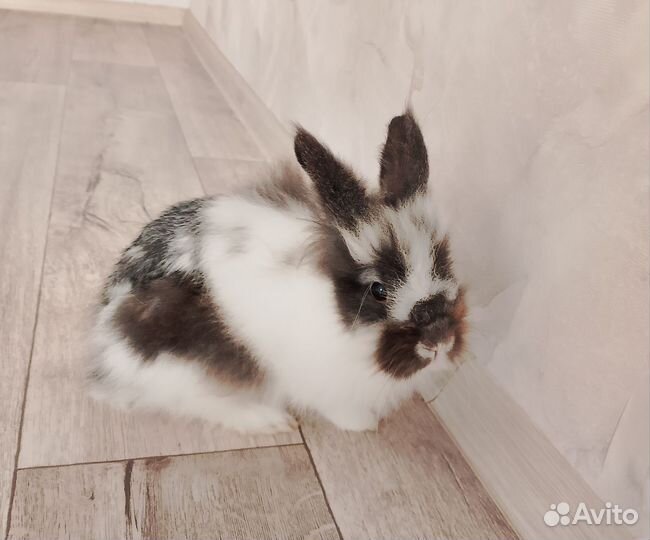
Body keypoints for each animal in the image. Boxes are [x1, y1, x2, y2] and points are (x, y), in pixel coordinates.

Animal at [88, 111, 467, 433]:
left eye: (443, 263)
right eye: (378, 289)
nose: (440, 340)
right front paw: (362, 424)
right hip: (179, 361)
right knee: (190, 399)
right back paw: (267, 420)